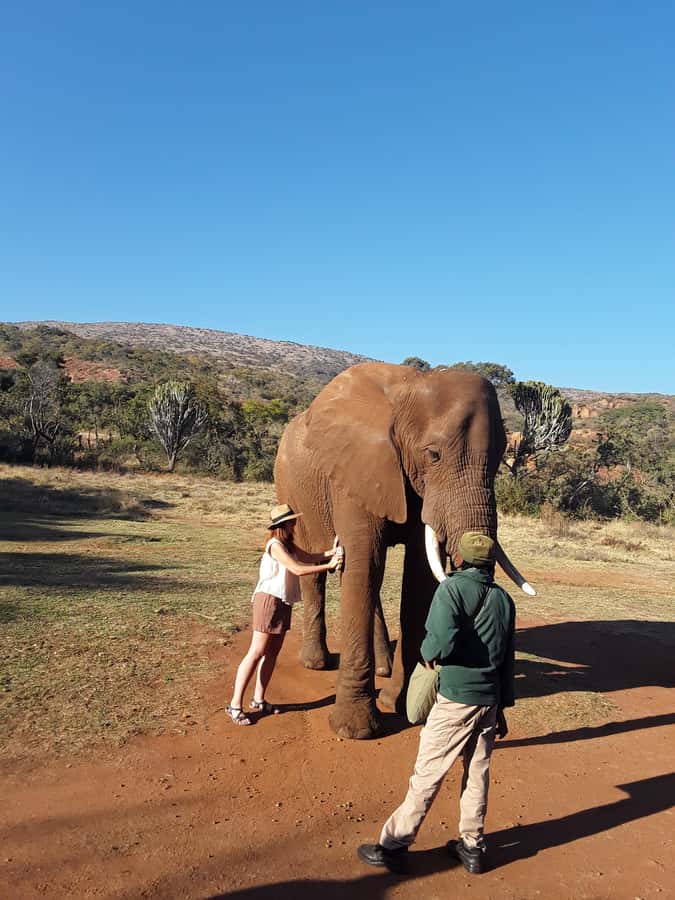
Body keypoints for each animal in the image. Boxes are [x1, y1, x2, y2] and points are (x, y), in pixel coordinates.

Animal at [274, 362, 535, 740]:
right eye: (434, 455)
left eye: (502, 456)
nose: (499, 725)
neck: (410, 390)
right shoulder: (355, 471)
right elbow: (364, 564)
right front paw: (355, 730)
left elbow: (417, 576)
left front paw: (400, 704)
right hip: (292, 490)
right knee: (321, 567)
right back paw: (316, 663)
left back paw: (382, 670)